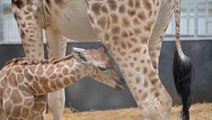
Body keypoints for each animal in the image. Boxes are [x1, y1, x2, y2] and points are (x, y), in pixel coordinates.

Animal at [12, 0, 194, 119]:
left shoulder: (26, 10)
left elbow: (38, 98)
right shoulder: (54, 25)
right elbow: (56, 96)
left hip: (121, 34)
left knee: (156, 102)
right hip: (158, 30)